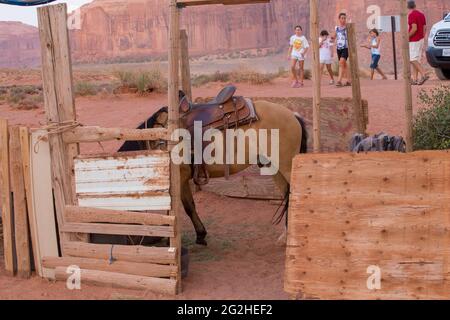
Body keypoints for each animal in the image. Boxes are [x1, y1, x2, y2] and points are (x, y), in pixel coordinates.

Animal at [118, 98, 310, 245]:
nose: (129, 240)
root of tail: (293, 115)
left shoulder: (178, 178)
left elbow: (173, 209)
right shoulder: (183, 179)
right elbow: (189, 206)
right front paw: (200, 234)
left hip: (286, 166)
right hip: (274, 168)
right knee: (287, 196)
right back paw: (285, 236)